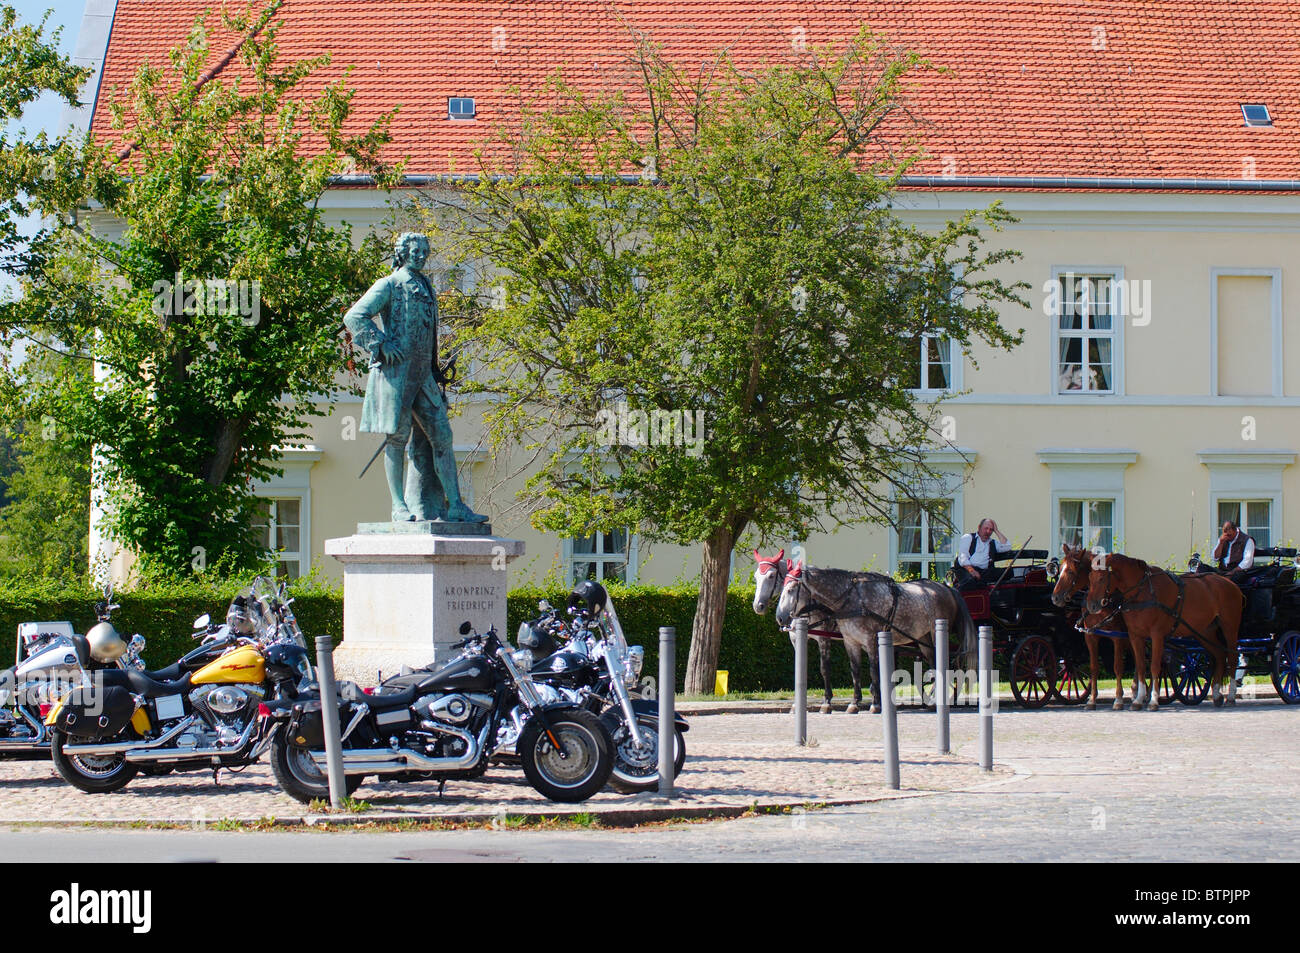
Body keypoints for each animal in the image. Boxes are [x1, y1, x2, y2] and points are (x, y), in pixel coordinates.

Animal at [754, 546, 863, 712]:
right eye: (755, 577)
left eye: (771, 575)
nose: (757, 606)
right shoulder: (796, 638)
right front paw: (796, 704)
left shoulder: (824, 638)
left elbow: (824, 668)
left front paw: (827, 702)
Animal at [769, 556, 977, 712]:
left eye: (791, 589)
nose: (779, 617)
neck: (853, 599)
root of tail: (947, 587)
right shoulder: (850, 641)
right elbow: (855, 671)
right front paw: (855, 703)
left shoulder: (870, 640)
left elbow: (872, 670)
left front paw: (876, 703)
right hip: (923, 638)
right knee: (934, 665)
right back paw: (933, 699)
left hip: (936, 633)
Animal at [1081, 551, 1242, 707]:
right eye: (1089, 577)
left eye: (1102, 578)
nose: (1091, 606)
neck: (1143, 591)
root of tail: (1230, 583)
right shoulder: (1135, 635)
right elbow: (1141, 666)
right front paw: (1138, 700)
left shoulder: (1156, 635)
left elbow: (1154, 666)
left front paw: (1153, 700)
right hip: (1204, 632)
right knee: (1220, 656)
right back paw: (1216, 694)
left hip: (1230, 627)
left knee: (1232, 658)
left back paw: (1231, 697)